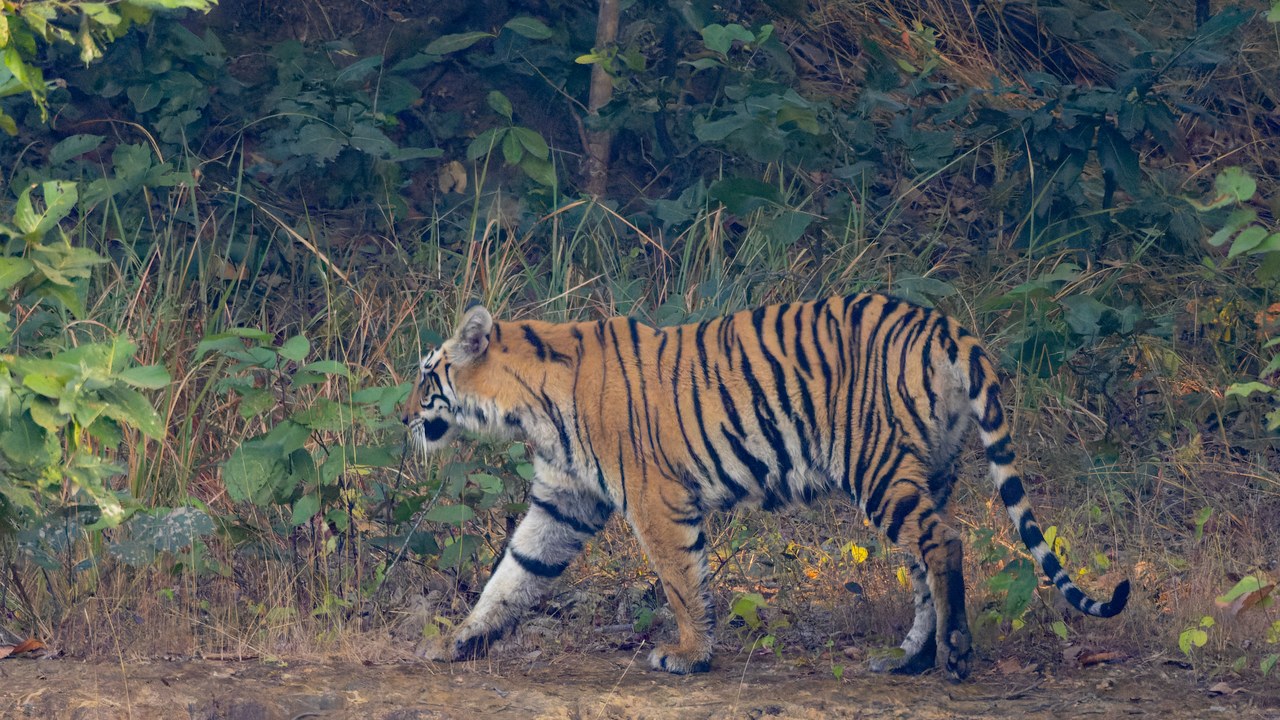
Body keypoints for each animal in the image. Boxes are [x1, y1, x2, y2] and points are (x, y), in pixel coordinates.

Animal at [401, 294, 1129, 682]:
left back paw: (952, 655)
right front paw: (456, 642)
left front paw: (688, 655)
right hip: (926, 472)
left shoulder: (656, 500)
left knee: (944, 544)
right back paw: (909, 660)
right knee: (926, 560)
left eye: (427, 376)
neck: (526, 406)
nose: (405, 417)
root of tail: (945, 326)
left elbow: (682, 583)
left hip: (877, 467)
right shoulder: (564, 501)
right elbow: (512, 576)